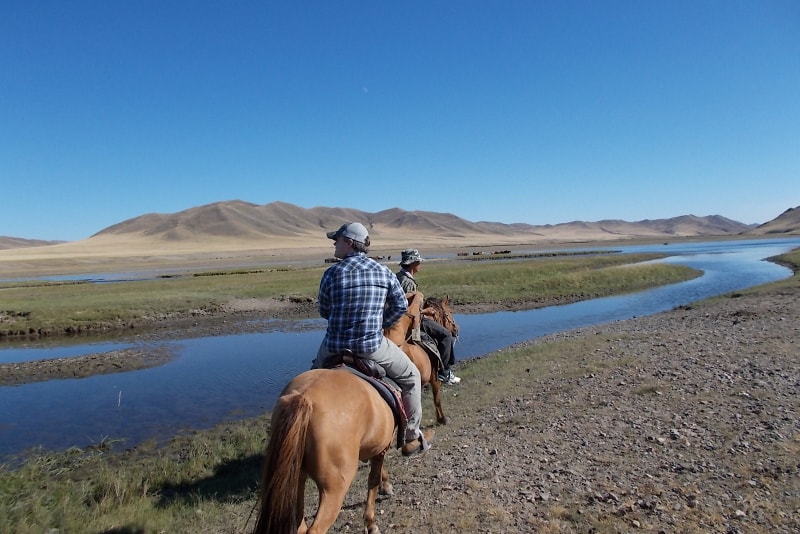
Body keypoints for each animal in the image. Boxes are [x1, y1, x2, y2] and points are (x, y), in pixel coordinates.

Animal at [253, 368, 394, 534]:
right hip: (332, 489)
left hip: (296, 480)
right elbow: (373, 480)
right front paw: (371, 523)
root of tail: (305, 396)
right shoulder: (381, 449)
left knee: (301, 527)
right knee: (315, 528)